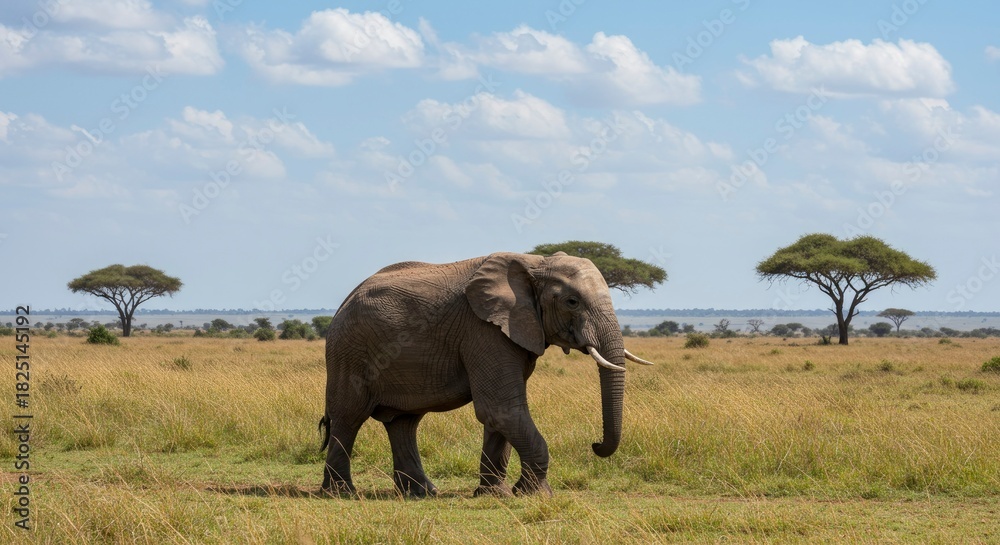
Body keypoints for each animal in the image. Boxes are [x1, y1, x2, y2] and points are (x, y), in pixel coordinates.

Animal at [318, 251, 653, 497]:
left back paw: (421, 493)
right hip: (349, 351)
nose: (595, 445)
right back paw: (341, 493)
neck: (534, 262)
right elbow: (500, 408)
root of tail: (343, 304)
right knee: (349, 417)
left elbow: (500, 415)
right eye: (572, 302)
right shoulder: (483, 330)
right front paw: (534, 495)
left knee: (404, 422)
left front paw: (496, 494)